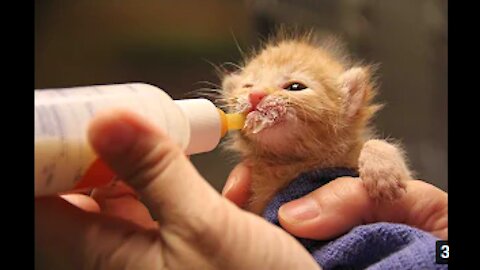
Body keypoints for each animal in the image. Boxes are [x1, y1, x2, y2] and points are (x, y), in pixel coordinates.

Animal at [219, 31, 410, 213]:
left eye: (295, 87)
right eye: (248, 86)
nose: (255, 95)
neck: (294, 163)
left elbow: (374, 144)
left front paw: (382, 172)